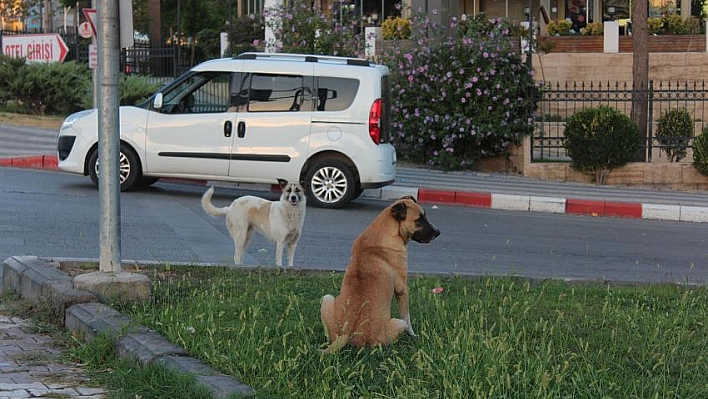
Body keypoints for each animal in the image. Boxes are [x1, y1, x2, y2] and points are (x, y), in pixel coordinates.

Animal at [320, 197, 436, 354]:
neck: (386, 229)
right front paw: (414, 335)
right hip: (398, 324)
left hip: (327, 299)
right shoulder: (402, 289)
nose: (438, 232)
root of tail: (347, 334)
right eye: (419, 219)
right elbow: (407, 317)